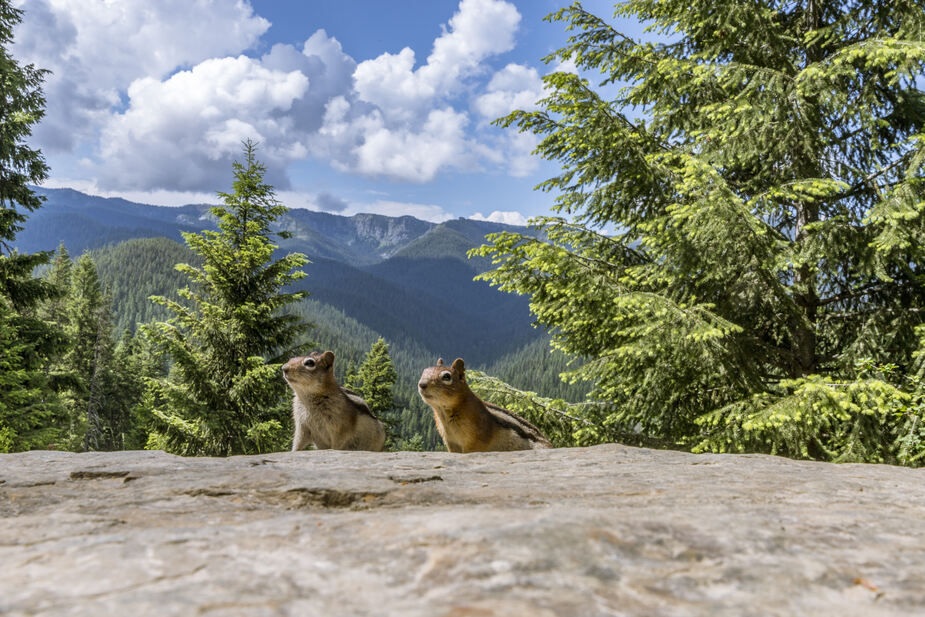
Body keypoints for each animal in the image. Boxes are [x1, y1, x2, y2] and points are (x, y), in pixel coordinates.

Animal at [416, 356, 548, 452]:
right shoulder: (451, 443)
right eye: (424, 371)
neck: (444, 413)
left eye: (447, 376)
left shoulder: (475, 442)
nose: (422, 384)